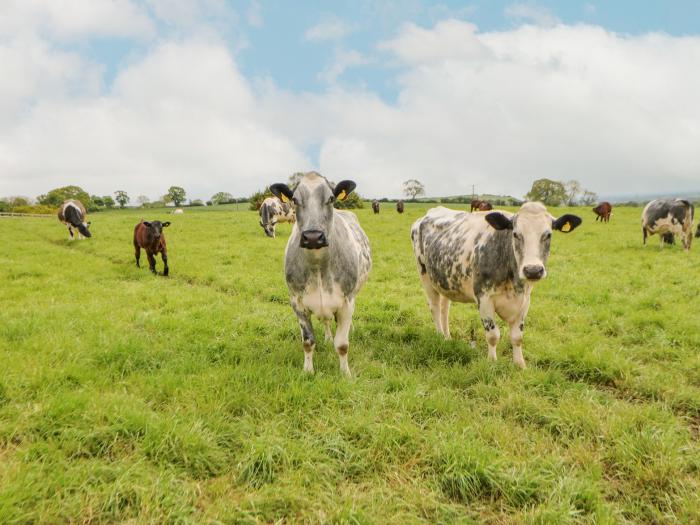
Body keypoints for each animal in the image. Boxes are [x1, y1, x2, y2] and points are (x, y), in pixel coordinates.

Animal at [270, 171, 374, 372]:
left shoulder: (347, 302)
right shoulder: (297, 302)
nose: (312, 237)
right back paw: (327, 337)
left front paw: (345, 373)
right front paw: (308, 371)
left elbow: (342, 344)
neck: (318, 266)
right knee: (326, 321)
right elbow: (308, 342)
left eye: (331, 198)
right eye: (294, 199)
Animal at [412, 202, 584, 368]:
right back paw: (440, 335)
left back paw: (448, 337)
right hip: (425, 275)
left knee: (444, 308)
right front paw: (492, 362)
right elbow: (493, 335)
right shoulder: (483, 298)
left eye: (548, 234)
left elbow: (517, 337)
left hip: (445, 279)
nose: (533, 270)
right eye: (515, 234)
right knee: (434, 307)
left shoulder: (525, 301)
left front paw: (520, 365)